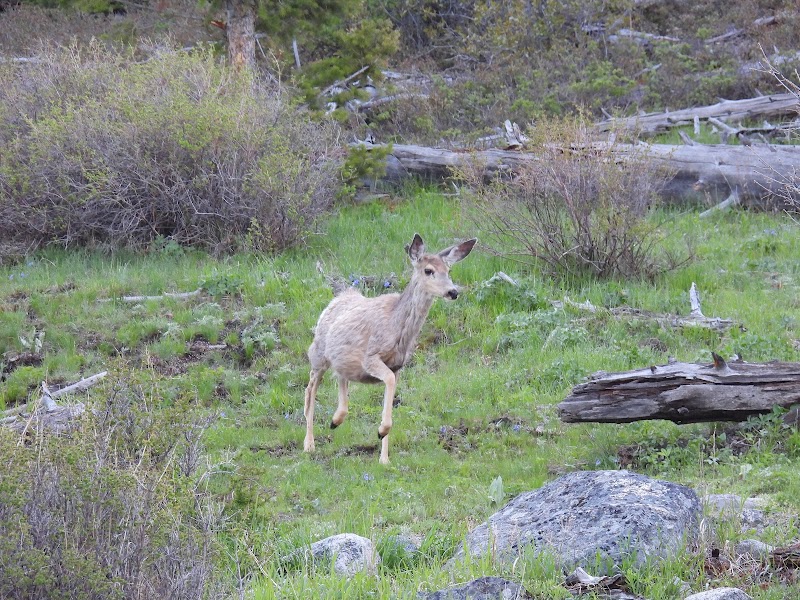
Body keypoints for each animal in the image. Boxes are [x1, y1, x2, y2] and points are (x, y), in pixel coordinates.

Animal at [303, 233, 477, 464]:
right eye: (428, 270)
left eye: (449, 271)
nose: (453, 292)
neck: (396, 328)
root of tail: (338, 297)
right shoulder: (371, 357)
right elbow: (389, 382)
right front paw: (381, 431)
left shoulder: (398, 366)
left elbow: (390, 394)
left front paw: (384, 457)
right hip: (318, 352)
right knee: (310, 390)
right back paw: (309, 444)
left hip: (341, 359)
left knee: (340, 378)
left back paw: (335, 420)